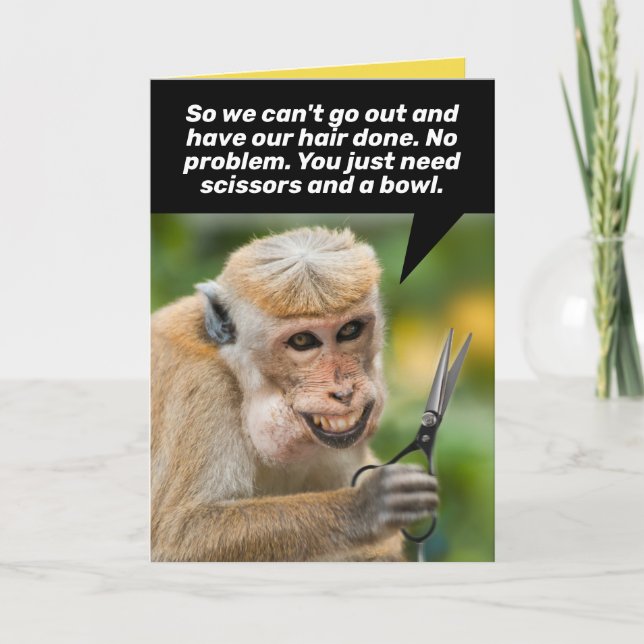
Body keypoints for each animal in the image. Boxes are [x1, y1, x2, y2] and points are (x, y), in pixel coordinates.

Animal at [151, 226, 438, 561]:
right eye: (302, 340)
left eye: (349, 330)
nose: (344, 392)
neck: (239, 375)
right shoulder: (203, 388)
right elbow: (178, 539)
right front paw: (366, 506)